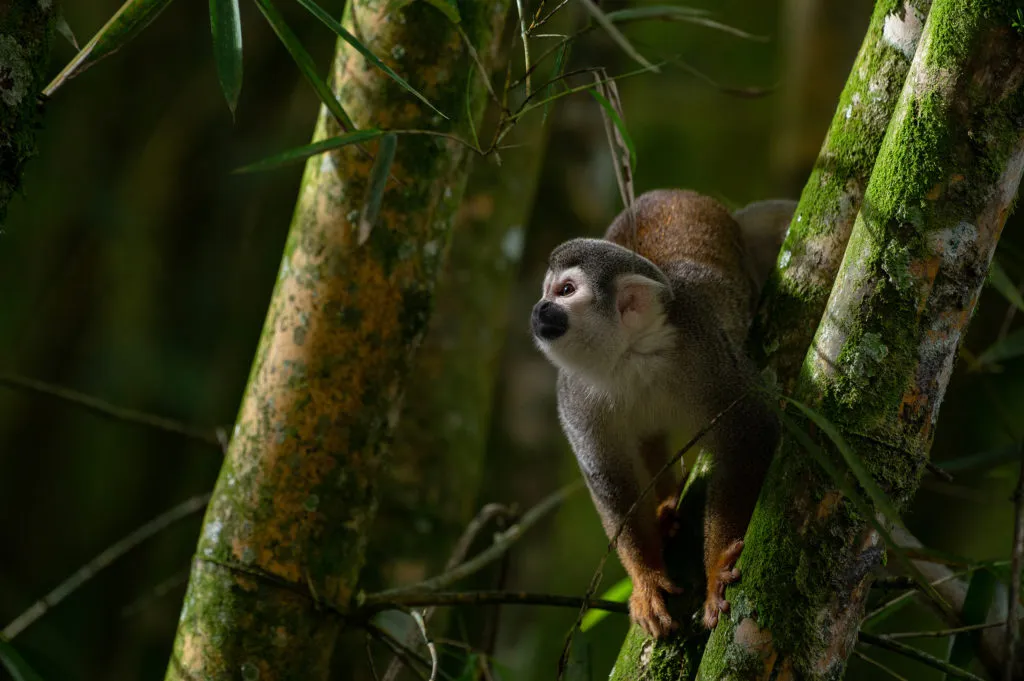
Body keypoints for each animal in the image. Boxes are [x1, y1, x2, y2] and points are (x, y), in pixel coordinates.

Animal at [530, 189, 795, 637]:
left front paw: (716, 569)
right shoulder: (573, 395)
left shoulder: (701, 350)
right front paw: (647, 581)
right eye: (547, 291)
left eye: (565, 290)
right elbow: (611, 481)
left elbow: (750, 431)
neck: (628, 357)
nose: (538, 308)